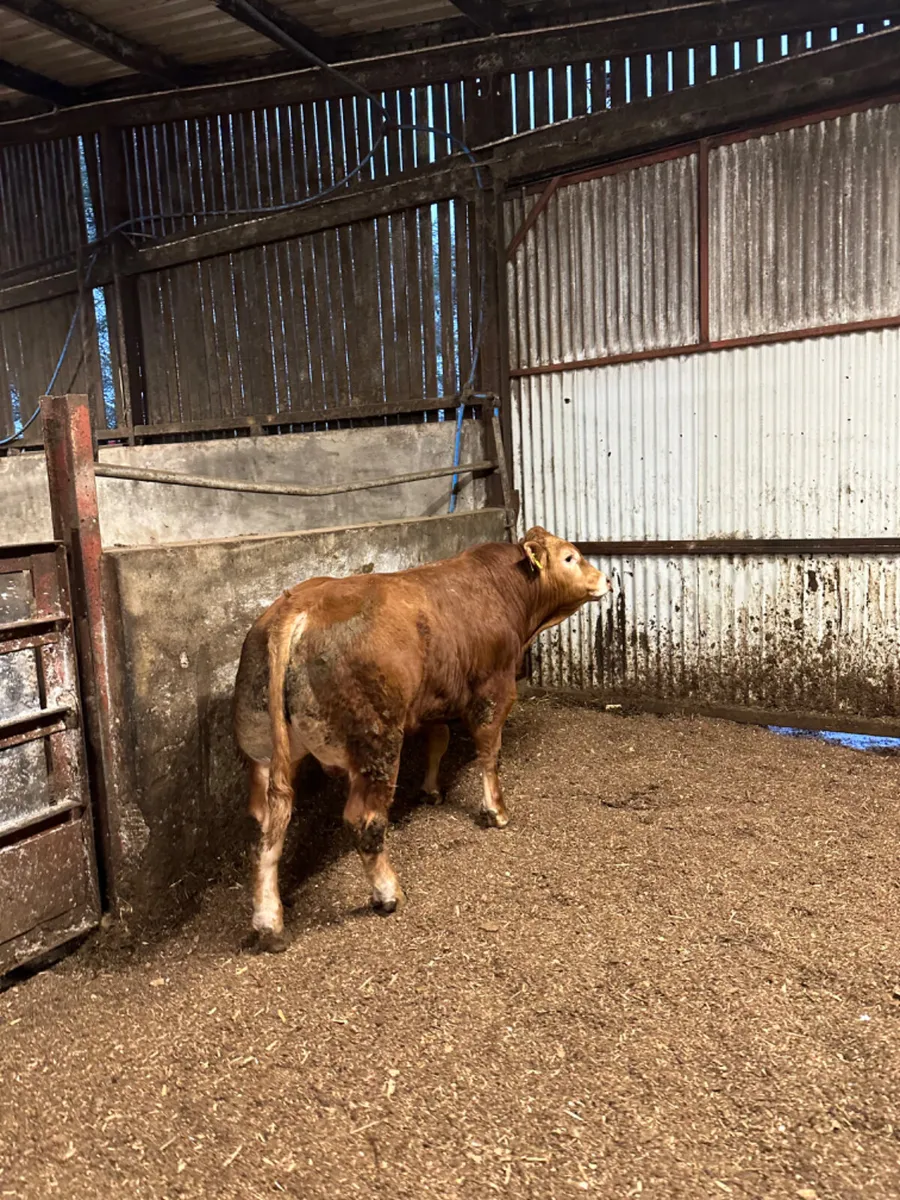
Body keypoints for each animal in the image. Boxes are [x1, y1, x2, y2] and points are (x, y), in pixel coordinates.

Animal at [233, 526, 611, 951]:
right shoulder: (495, 688)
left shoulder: (436, 697)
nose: (606, 580)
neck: (505, 590)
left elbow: (438, 740)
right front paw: (495, 811)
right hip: (376, 742)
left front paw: (431, 790)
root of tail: (295, 607)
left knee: (265, 828)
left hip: (262, 749)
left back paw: (269, 923)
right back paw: (387, 893)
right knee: (364, 820)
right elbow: (489, 750)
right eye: (569, 557)